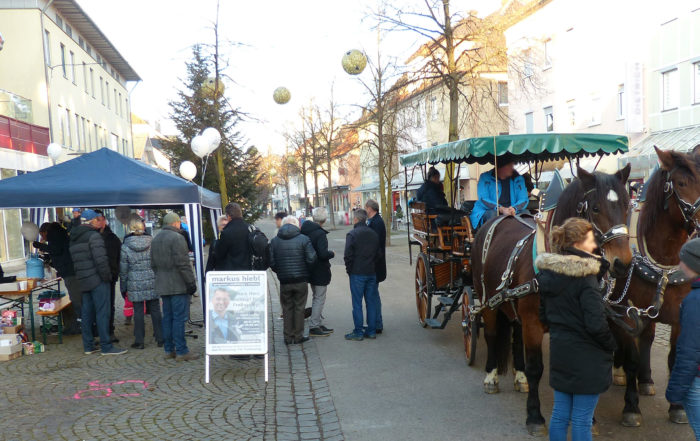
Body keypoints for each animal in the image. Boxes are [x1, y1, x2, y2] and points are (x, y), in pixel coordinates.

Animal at [474, 164, 632, 434]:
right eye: (596, 208)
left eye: (627, 205)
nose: (622, 262)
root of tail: (498, 218)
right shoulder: (533, 324)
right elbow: (536, 368)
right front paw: (534, 416)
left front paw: (588, 419)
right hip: (487, 302)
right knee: (492, 335)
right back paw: (491, 376)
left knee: (515, 339)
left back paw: (519, 376)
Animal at [608, 148, 700, 426]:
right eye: (680, 183)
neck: (665, 263)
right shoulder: (626, 314)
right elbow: (630, 358)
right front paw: (630, 407)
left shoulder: (680, 315)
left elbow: (674, 356)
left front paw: (677, 407)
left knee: (647, 338)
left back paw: (646, 380)